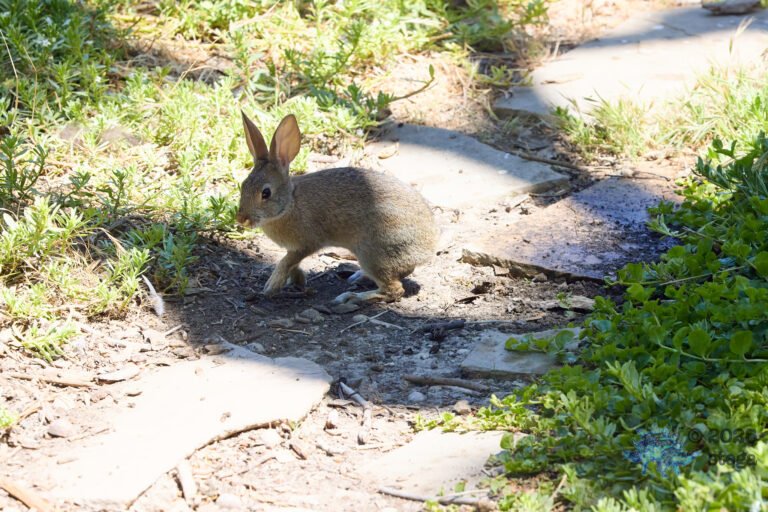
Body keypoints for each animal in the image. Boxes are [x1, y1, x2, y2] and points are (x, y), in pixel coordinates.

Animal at [235, 112, 438, 303]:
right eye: (243, 185)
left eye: (266, 193)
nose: (241, 219)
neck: (290, 203)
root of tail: (427, 250)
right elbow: (291, 264)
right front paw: (296, 280)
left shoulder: (307, 243)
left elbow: (287, 261)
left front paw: (272, 285)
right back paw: (358, 277)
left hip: (373, 252)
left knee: (394, 290)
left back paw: (351, 297)